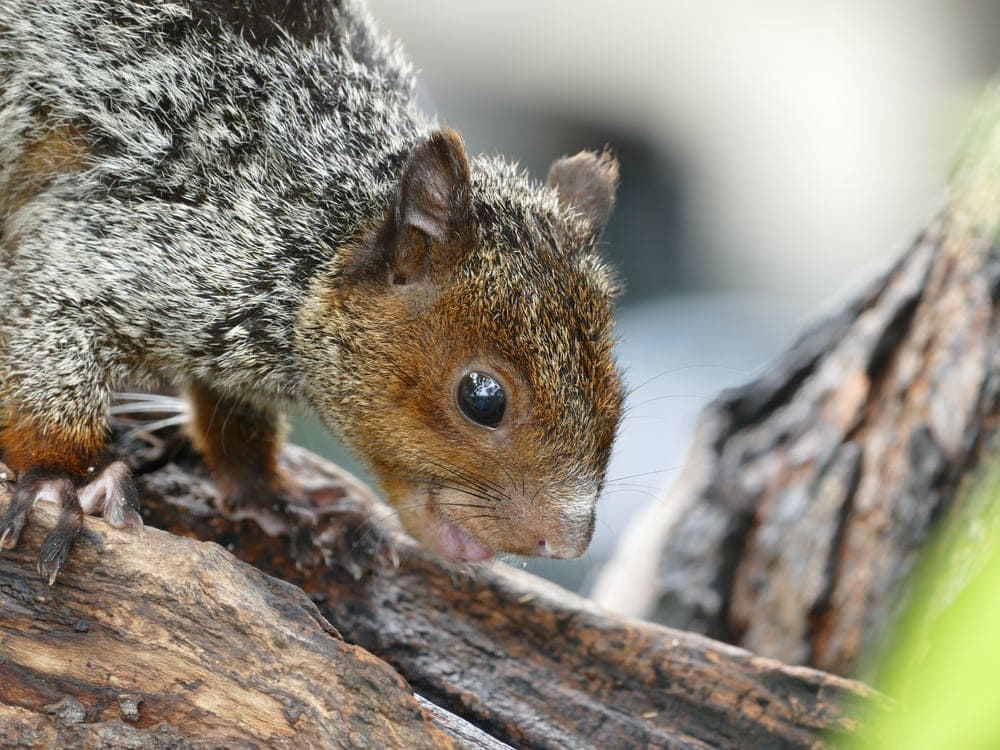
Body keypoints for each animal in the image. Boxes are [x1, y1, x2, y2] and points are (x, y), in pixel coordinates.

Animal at [0, 0, 624, 583]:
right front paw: (62, 481)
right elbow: (50, 313)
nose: (566, 542)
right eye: (483, 398)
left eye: (618, 401)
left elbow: (230, 413)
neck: (315, 237)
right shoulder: (134, 241)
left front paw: (273, 496)